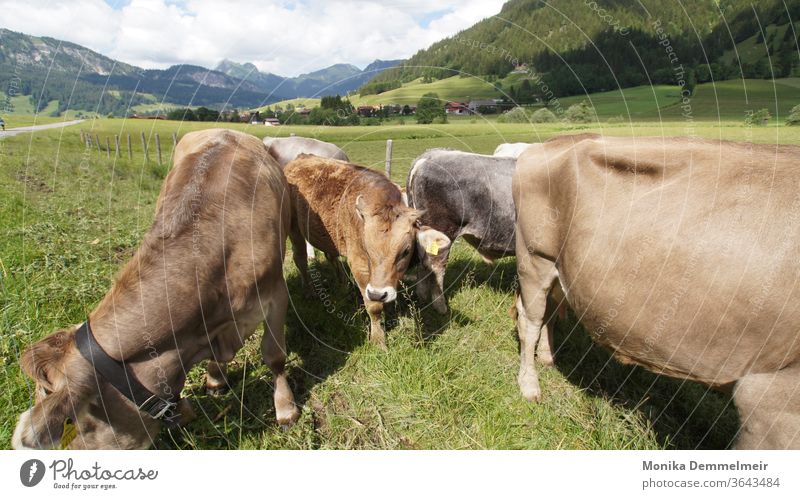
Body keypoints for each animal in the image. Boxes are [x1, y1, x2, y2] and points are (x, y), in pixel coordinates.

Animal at [286, 154, 450, 350]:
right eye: (367, 248)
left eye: (406, 251)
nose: (378, 293)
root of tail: (302, 157)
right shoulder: (359, 265)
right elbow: (374, 306)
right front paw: (378, 340)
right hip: (294, 228)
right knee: (300, 259)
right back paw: (309, 291)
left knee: (331, 256)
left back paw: (343, 285)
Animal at [512, 133, 800, 450]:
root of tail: (548, 143)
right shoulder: (769, 397)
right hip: (535, 257)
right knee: (529, 322)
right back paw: (529, 386)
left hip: (559, 267)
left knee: (550, 310)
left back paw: (548, 358)